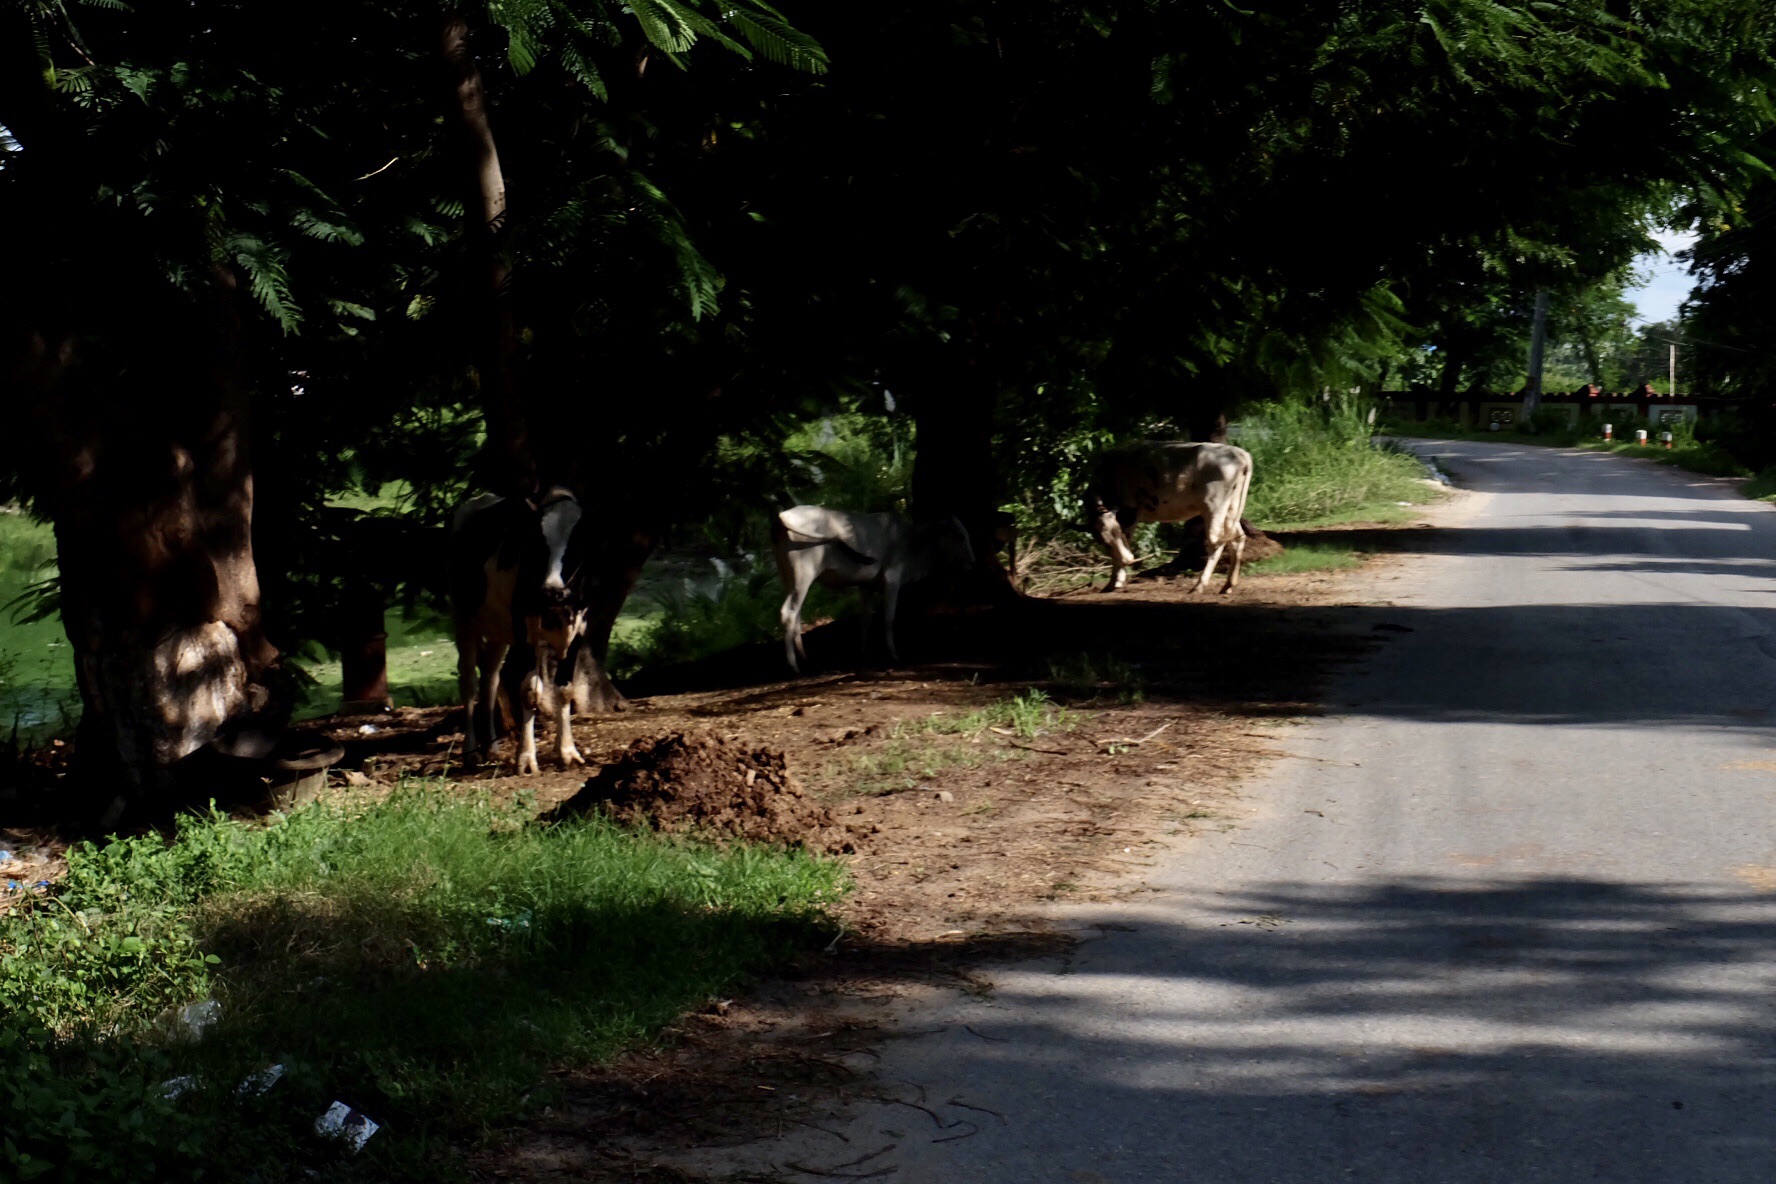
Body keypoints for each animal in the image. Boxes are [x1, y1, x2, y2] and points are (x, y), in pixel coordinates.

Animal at [774, 507, 980, 674]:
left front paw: (862, 653)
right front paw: (894, 655)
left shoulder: (866, 586)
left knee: (797, 618)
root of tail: (784, 515)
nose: (972, 562)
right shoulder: (892, 580)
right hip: (803, 576)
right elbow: (889, 618)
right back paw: (794, 666)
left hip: (788, 579)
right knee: (788, 613)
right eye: (959, 536)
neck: (912, 540)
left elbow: (865, 620)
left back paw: (805, 659)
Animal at [1086, 440, 1257, 592]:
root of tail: (1240, 453)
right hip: (1231, 509)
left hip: (1214, 507)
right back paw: (1228, 585)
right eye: (1102, 540)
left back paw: (1199, 585)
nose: (1128, 559)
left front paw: (1115, 582)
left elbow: (1122, 546)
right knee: (1237, 538)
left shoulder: (1129, 513)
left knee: (1216, 541)